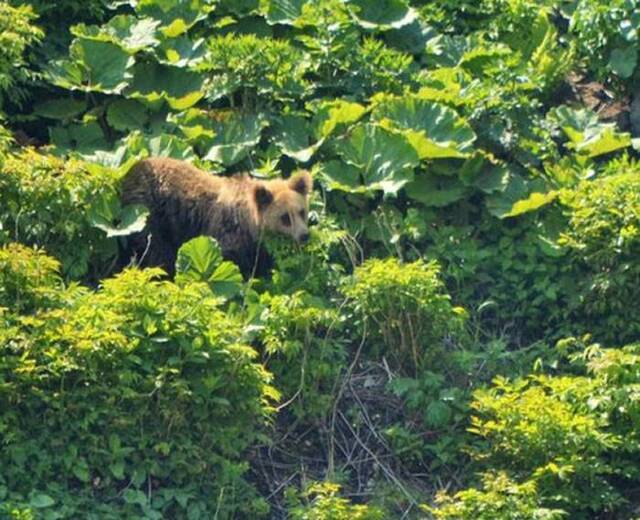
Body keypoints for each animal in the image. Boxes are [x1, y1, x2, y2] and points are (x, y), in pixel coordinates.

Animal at [120, 157, 312, 276]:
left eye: (301, 211)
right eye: (285, 217)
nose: (304, 235)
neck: (250, 224)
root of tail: (130, 171)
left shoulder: (257, 247)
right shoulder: (228, 234)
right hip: (146, 214)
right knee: (157, 252)